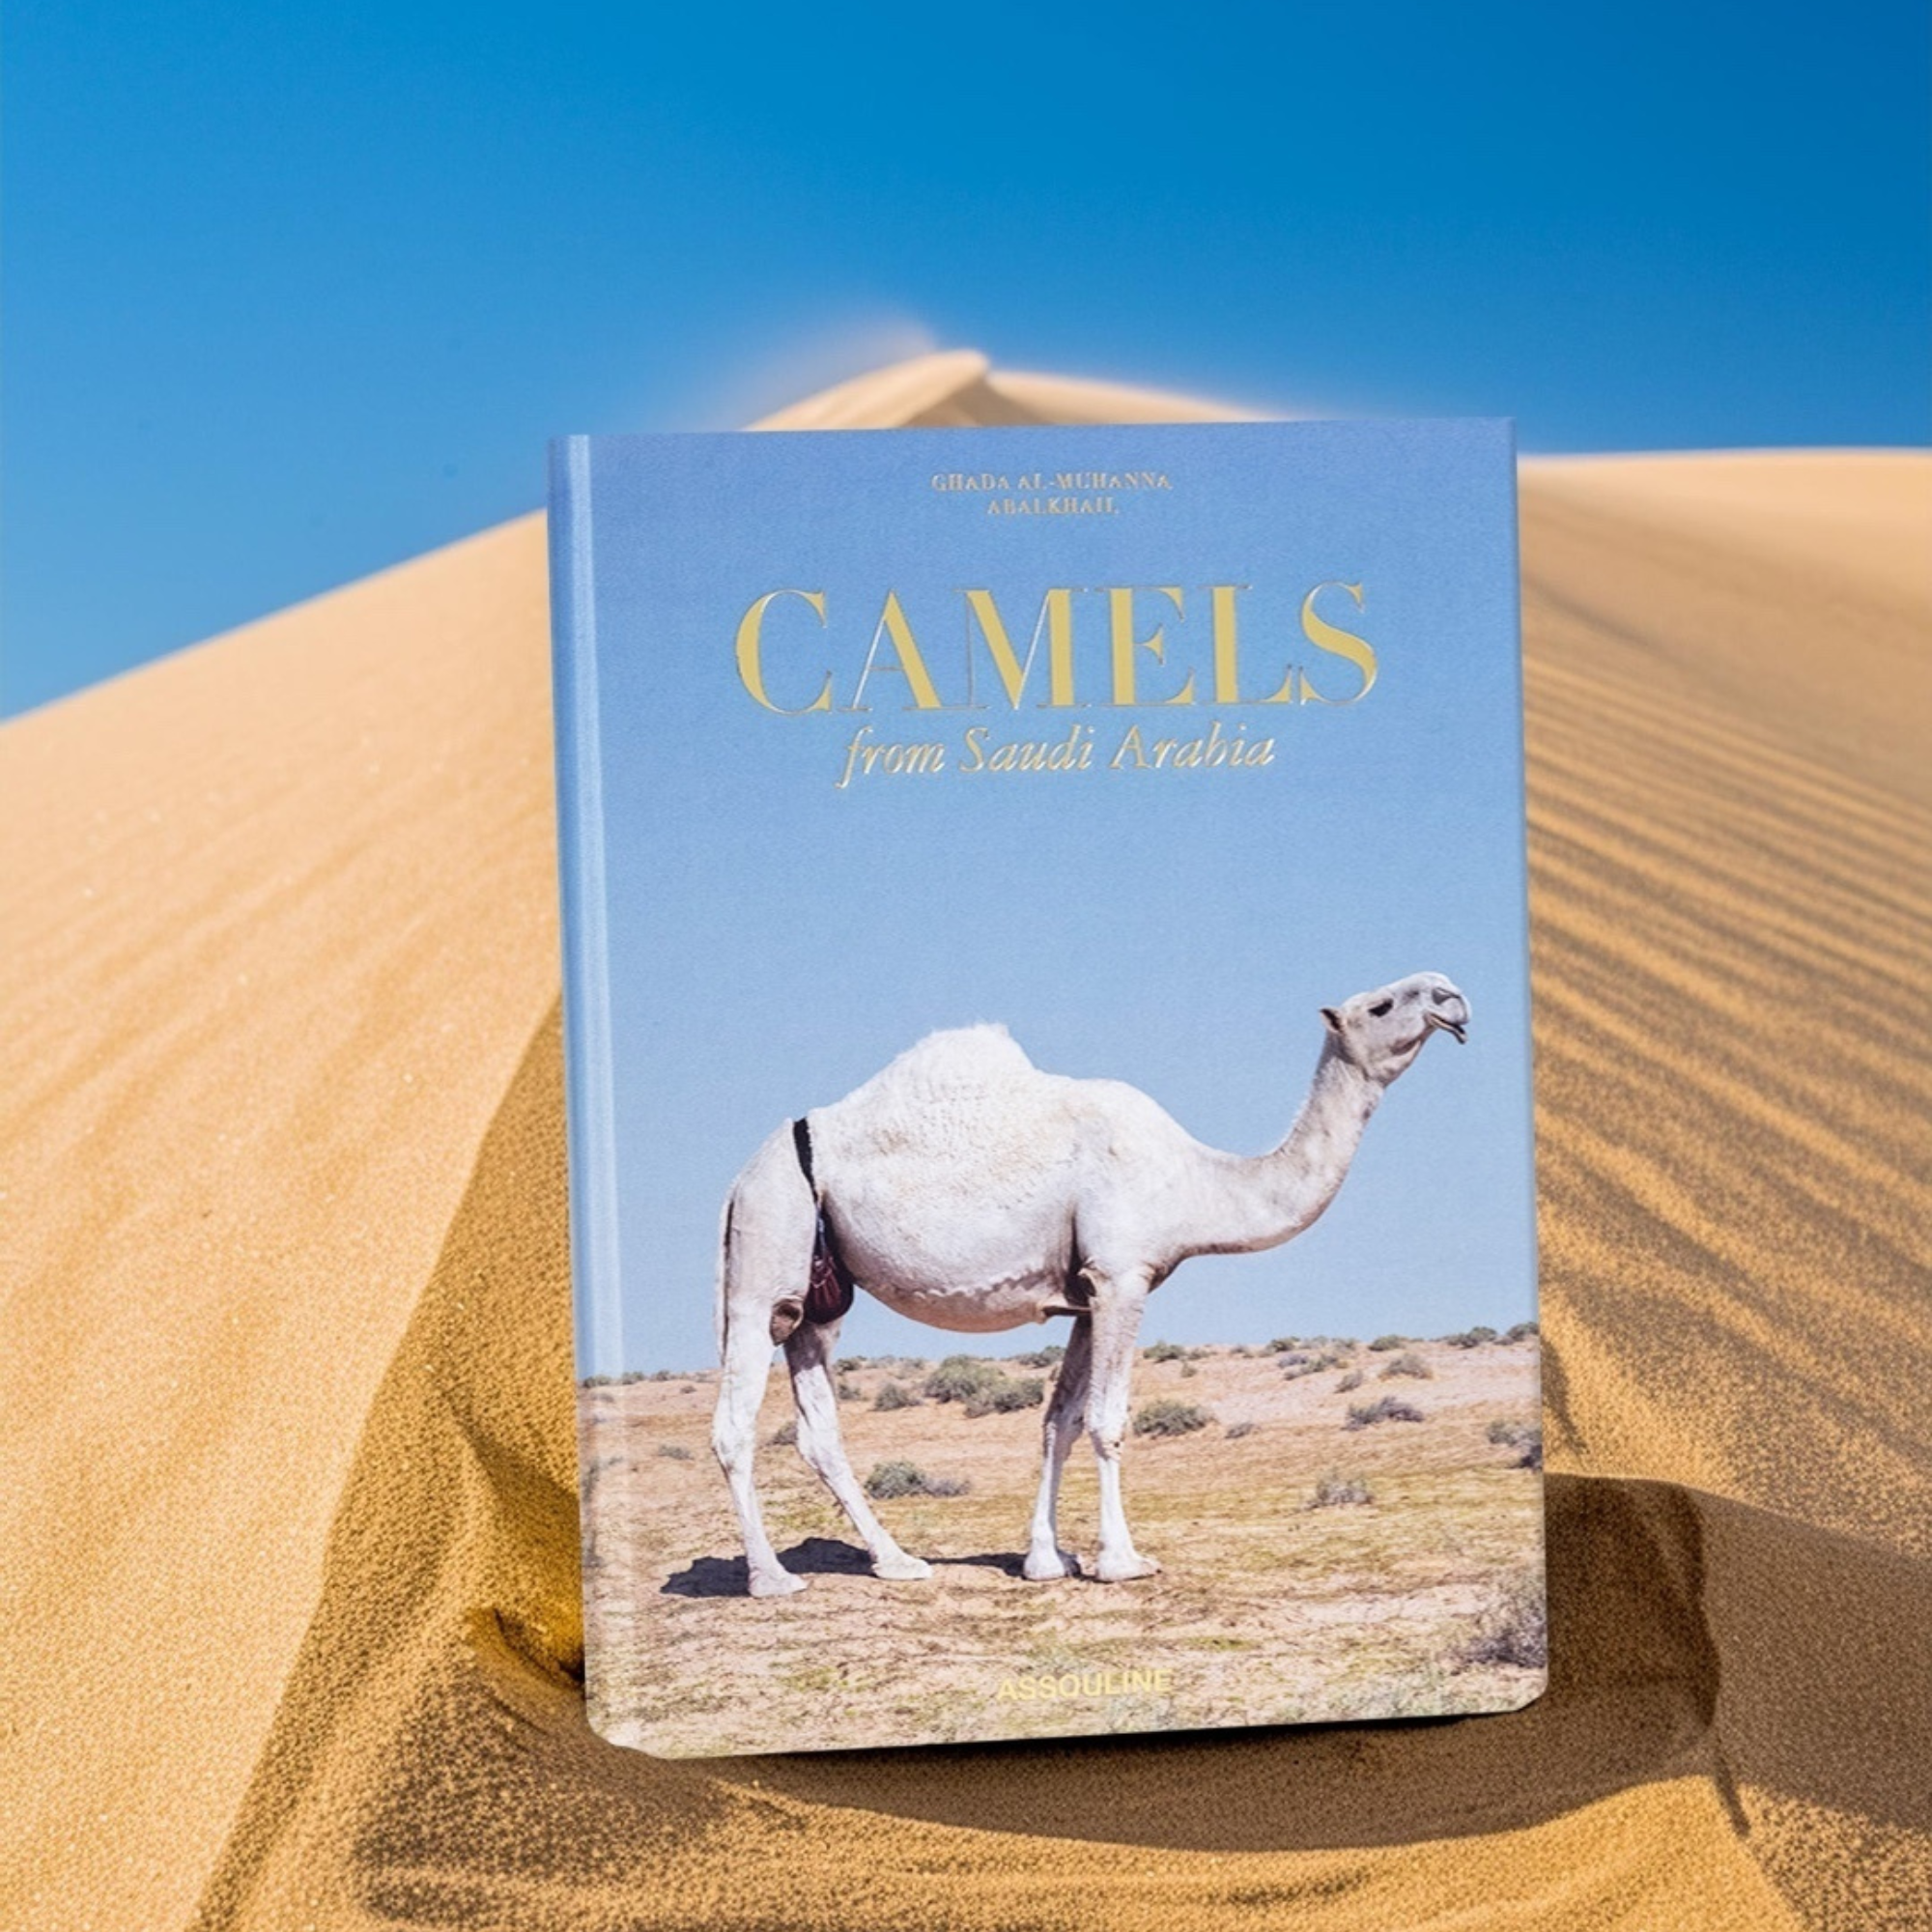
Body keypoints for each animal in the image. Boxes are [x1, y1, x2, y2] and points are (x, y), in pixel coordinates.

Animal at [710, 970, 1469, 1597]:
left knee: (819, 1429)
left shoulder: (1080, 1298)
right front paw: (1122, 1561)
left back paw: (897, 1562)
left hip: (817, 1302)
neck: (1195, 1182)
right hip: (764, 1256)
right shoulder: (1121, 1277)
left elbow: (1059, 1422)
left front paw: (1048, 1561)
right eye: (1381, 1004)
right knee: (733, 1424)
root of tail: (740, 1177)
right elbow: (1107, 1421)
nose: (1452, 995)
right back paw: (771, 1578)